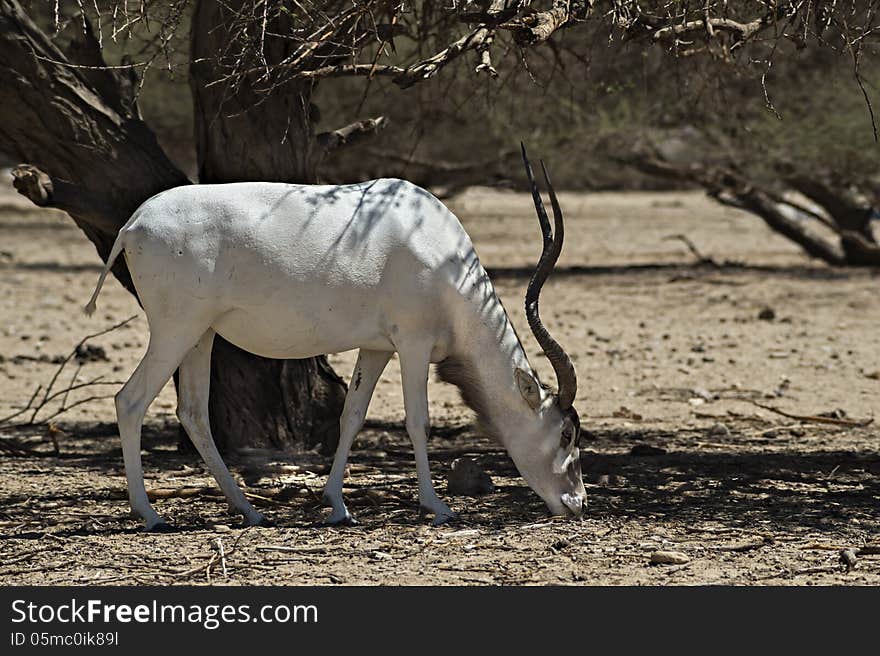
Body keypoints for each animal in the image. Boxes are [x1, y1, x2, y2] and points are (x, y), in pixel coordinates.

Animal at [86, 146, 588, 532]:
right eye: (565, 433)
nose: (577, 504)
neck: (432, 241)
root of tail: (133, 223)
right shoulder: (413, 343)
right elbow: (418, 420)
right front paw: (437, 506)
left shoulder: (377, 347)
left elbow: (352, 416)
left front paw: (337, 506)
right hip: (176, 330)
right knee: (130, 400)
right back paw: (150, 514)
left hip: (201, 334)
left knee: (193, 412)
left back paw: (250, 511)